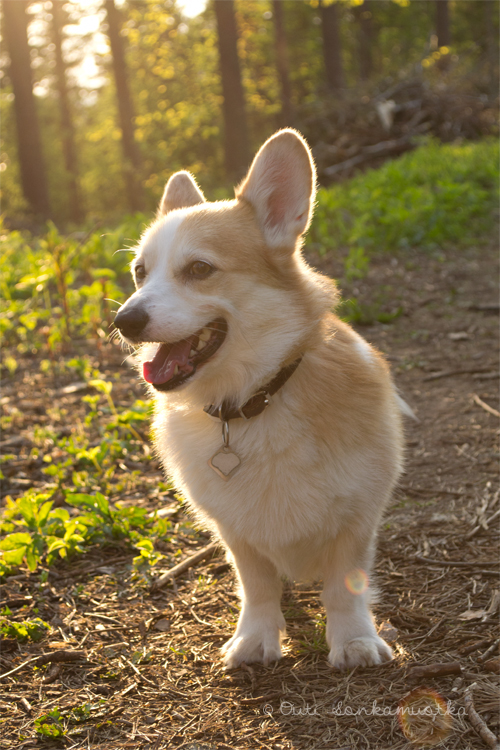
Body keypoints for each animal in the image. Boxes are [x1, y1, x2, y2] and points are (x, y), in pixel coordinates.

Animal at [115, 128, 408, 668]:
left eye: (199, 268)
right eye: (140, 272)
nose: (124, 320)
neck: (253, 400)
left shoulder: (356, 517)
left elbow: (345, 586)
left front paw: (354, 641)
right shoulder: (236, 532)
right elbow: (257, 586)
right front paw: (255, 639)